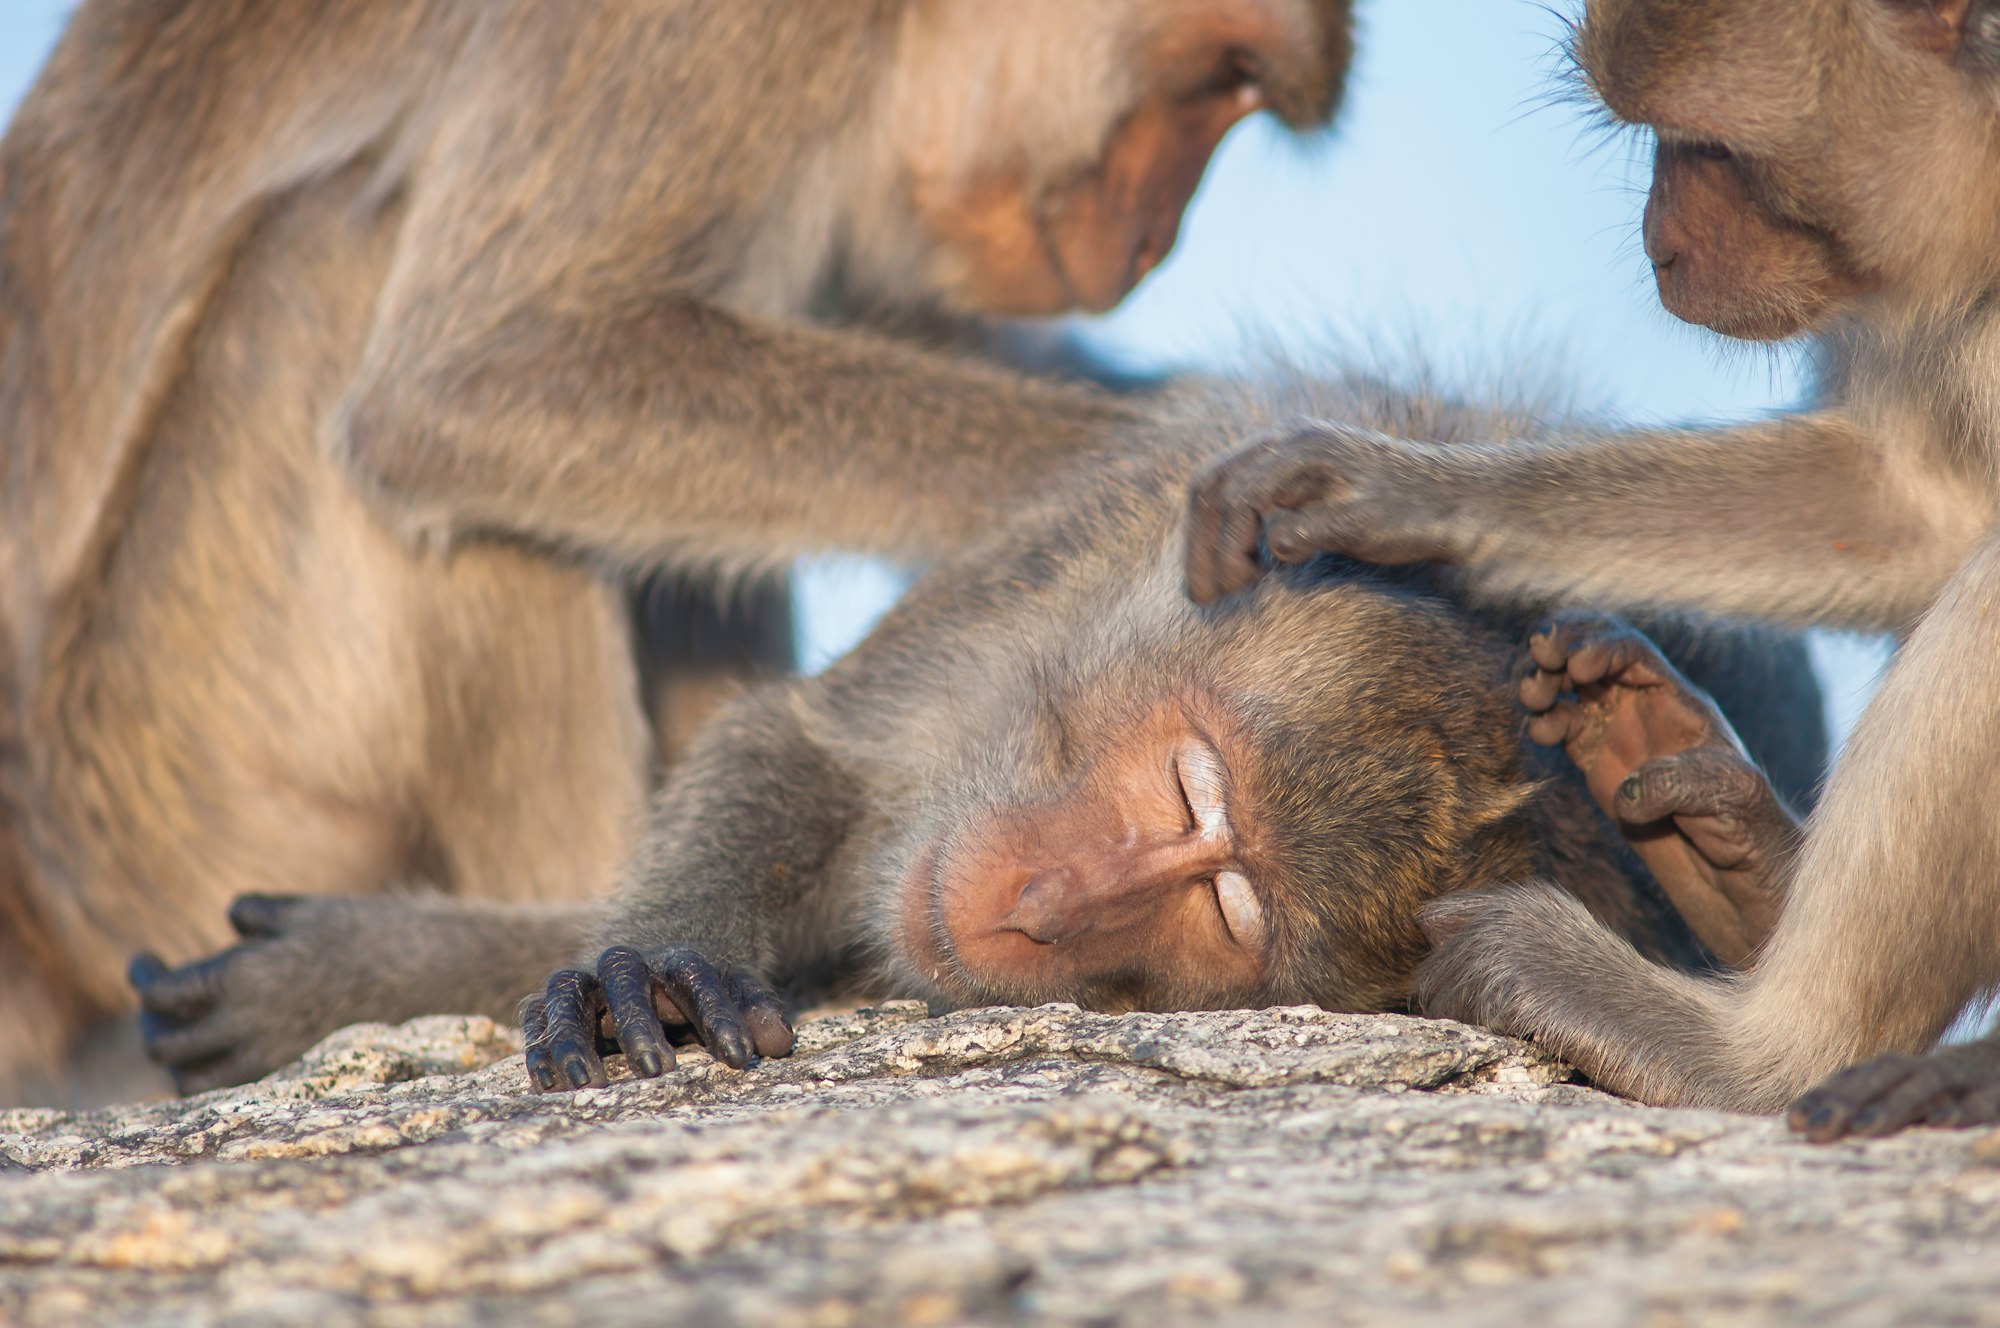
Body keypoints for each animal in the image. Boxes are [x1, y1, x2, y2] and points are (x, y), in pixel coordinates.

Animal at [0, 0, 1358, 1103]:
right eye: (1222, 75)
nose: (1154, 235)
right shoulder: (722, 34)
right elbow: (487, 371)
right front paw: (1230, 441)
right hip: (182, 770)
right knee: (337, 262)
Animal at [127, 373, 1828, 1095]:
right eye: (1183, 784)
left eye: (1226, 913)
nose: (1044, 904)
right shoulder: (1049, 580)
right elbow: (801, 752)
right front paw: (642, 970)